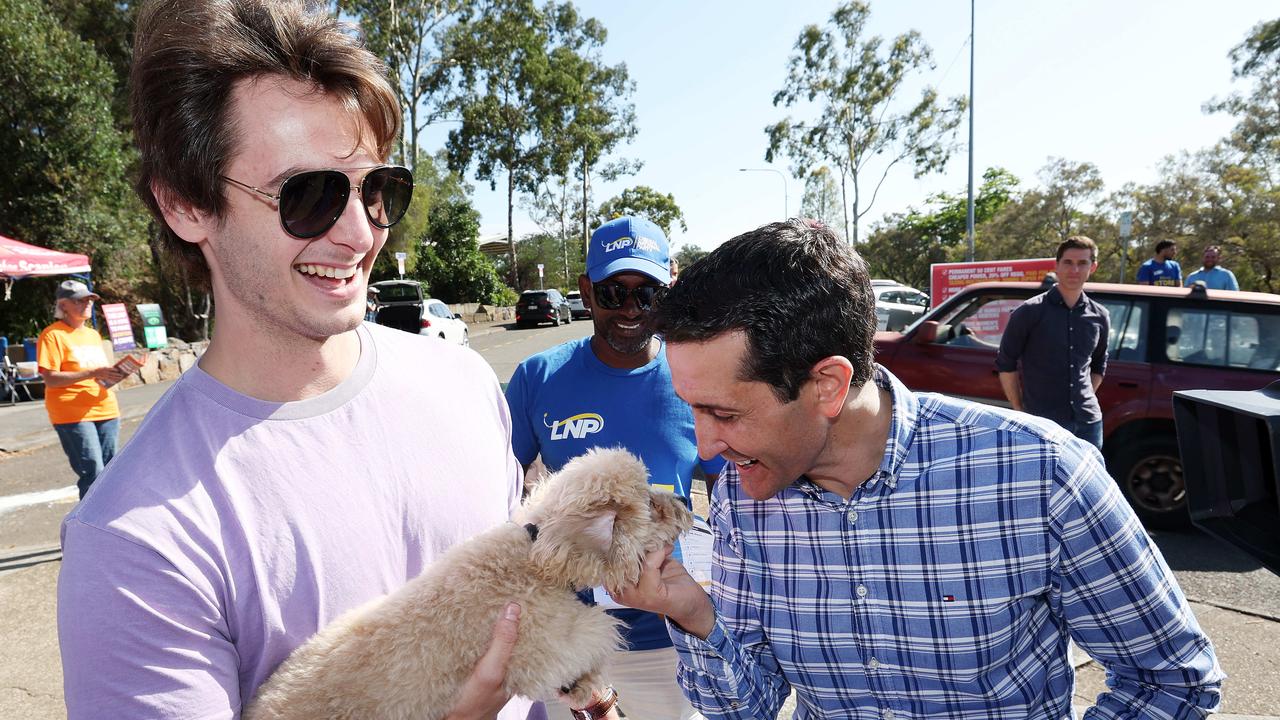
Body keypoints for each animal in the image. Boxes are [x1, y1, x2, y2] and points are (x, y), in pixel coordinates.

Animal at [244, 448, 696, 717]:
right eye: (651, 504)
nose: (684, 502)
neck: (533, 557)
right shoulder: (540, 643)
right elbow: (591, 639)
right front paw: (581, 681)